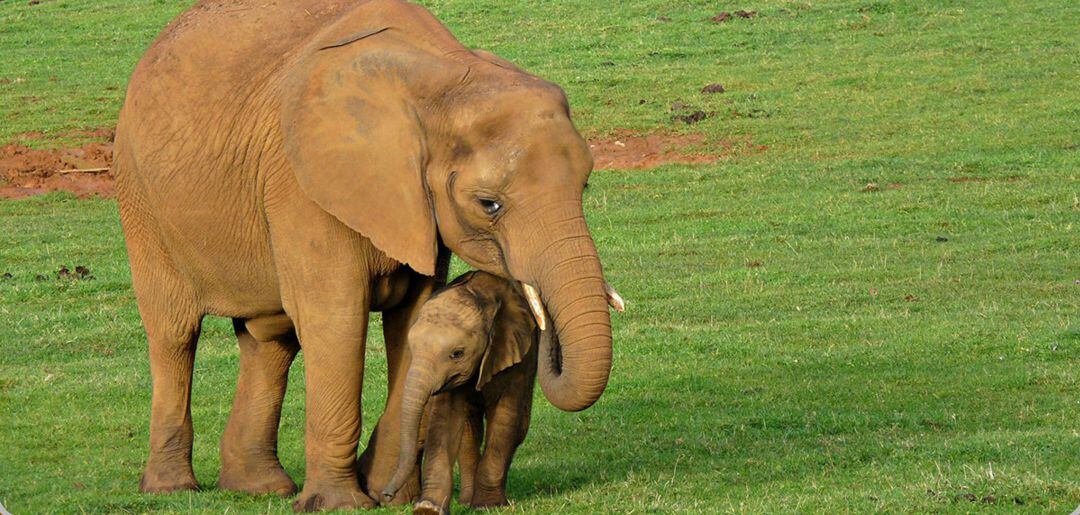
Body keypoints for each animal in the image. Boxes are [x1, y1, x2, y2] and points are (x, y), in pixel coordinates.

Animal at [384, 270, 544, 511]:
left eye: (457, 354)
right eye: (412, 348)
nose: (386, 495)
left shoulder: (517, 355)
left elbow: (505, 418)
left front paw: (488, 506)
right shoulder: (450, 379)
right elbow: (446, 421)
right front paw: (427, 508)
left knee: (518, 428)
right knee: (470, 435)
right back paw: (467, 500)